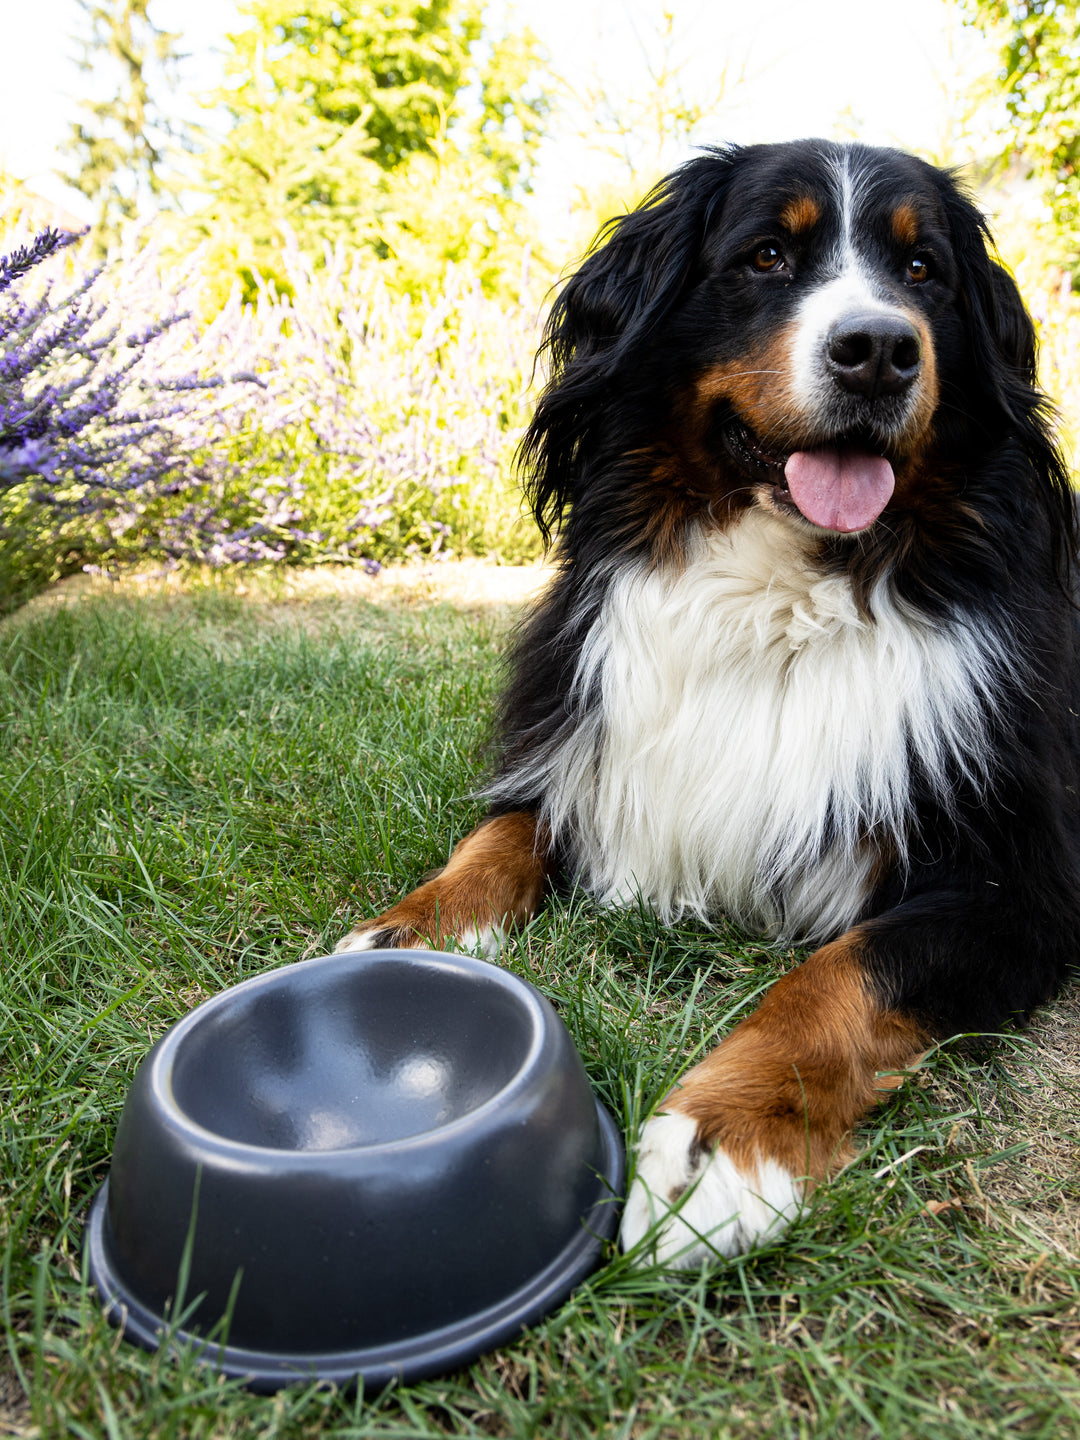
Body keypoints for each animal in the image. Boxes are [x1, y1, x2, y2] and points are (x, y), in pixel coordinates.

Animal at [338, 143, 1080, 1272]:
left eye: (924, 272)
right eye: (766, 254)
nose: (878, 352)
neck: (779, 598)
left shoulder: (1021, 884)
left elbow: (843, 974)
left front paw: (721, 1139)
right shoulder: (585, 742)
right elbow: (497, 837)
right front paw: (412, 933)